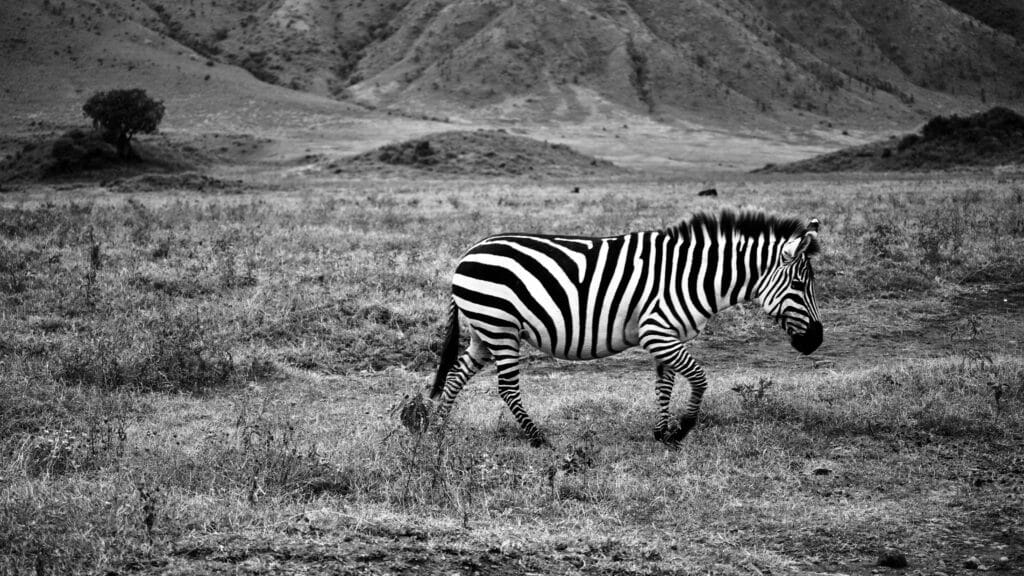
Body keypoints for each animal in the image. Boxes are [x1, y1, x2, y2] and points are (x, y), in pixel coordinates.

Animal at [429, 209, 822, 447]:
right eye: (799, 285)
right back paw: (539, 437)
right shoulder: (657, 332)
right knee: (507, 388)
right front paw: (684, 427)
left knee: (456, 376)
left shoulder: (667, 335)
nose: (816, 341)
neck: (692, 276)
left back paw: (438, 429)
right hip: (501, 327)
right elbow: (698, 377)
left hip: (485, 330)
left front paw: (662, 433)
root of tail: (468, 253)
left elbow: (665, 386)